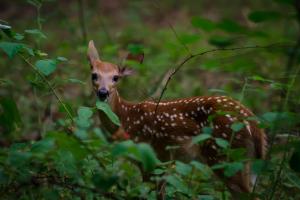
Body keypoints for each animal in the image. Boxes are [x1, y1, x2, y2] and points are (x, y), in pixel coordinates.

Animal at [87, 39, 268, 196]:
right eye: (94, 75)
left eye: (116, 78)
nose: (103, 92)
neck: (126, 117)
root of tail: (253, 125)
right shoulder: (163, 164)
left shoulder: (151, 158)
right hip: (248, 164)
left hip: (225, 155)